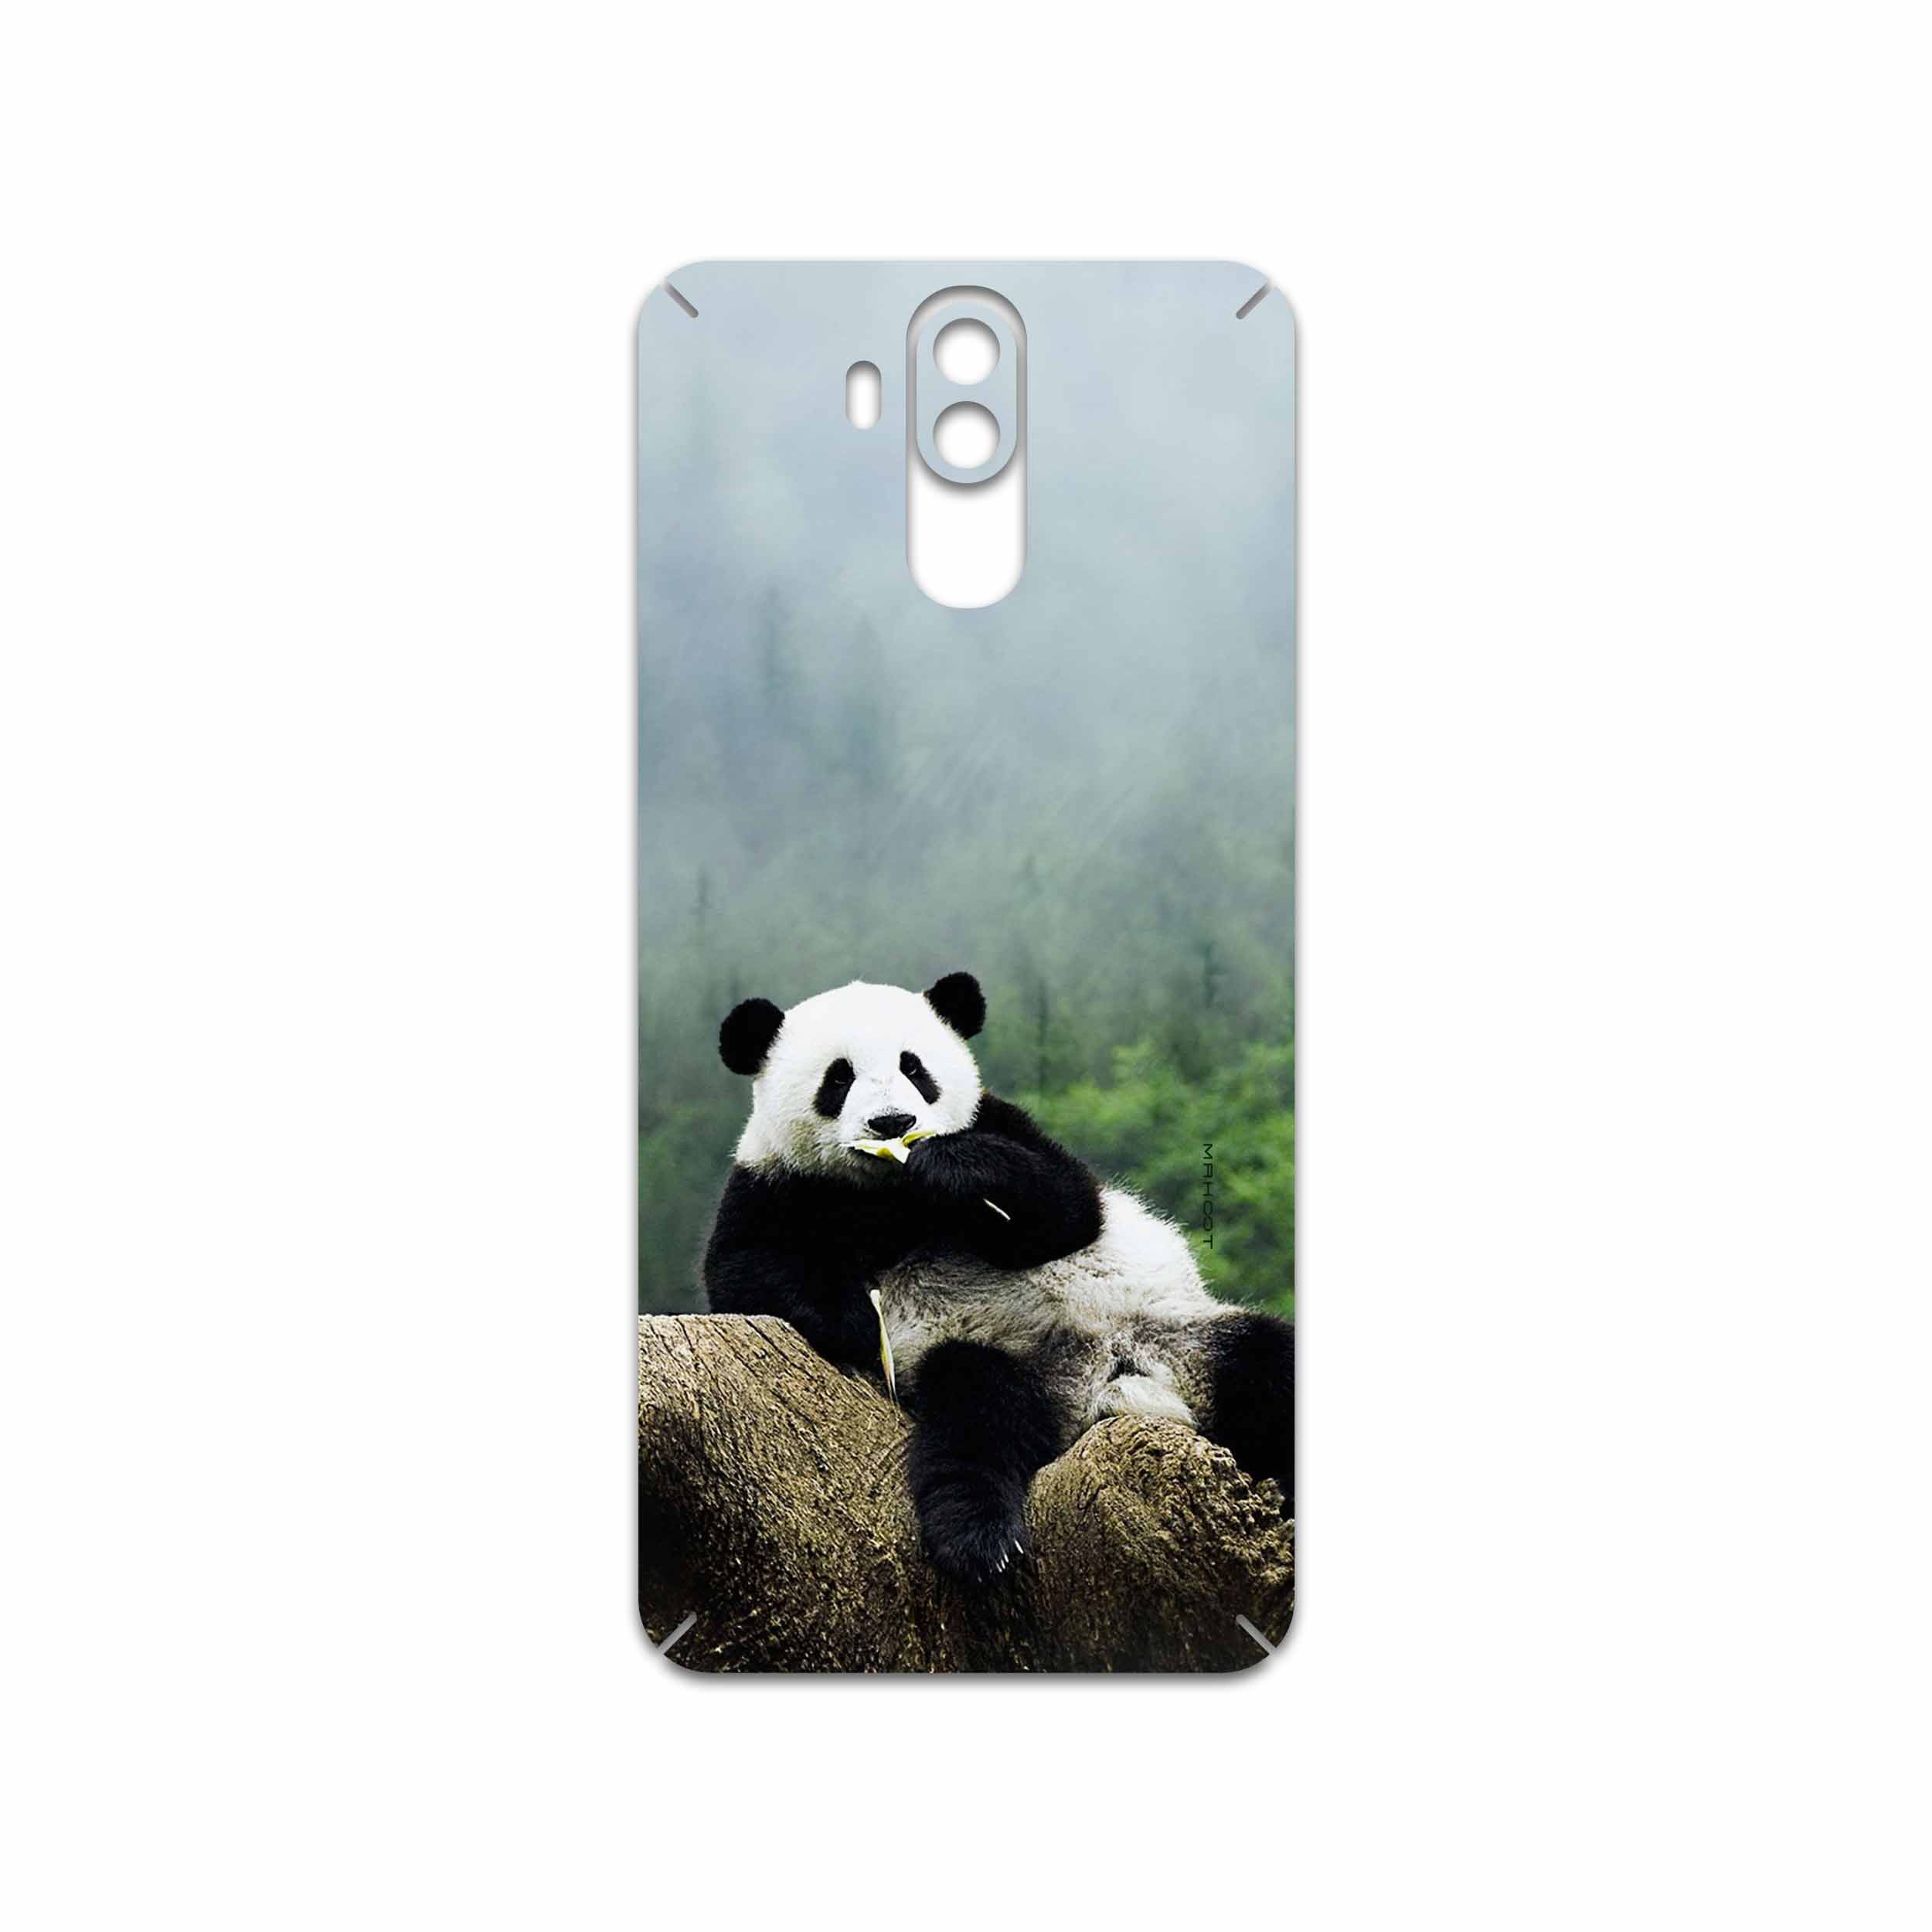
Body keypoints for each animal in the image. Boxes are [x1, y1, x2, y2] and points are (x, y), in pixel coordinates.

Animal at [704, 971, 1294, 1583]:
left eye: (914, 1068)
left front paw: (949, 1168)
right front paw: (858, 1322)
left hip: (1180, 1334)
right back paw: (980, 1540)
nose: (892, 1123)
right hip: (989, 1356)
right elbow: (746, 1271)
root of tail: (1103, 1385)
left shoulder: (1000, 1123)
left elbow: (1068, 1208)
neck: (888, 1195)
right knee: (975, 1419)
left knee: (1267, 1365)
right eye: (838, 1078)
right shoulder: (774, 1184)